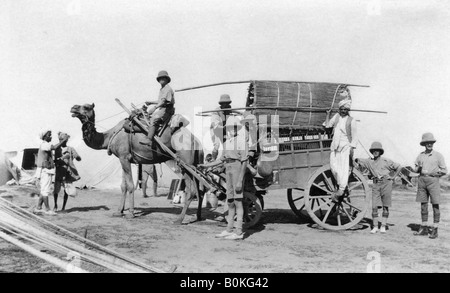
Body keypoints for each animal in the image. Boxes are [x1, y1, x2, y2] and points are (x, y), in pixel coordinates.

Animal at [70, 102, 204, 221]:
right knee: (200, 189)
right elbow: (123, 186)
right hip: (195, 163)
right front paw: (119, 212)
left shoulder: (124, 157)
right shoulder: (122, 158)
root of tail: (196, 141)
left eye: (86, 107)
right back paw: (197, 217)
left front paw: (130, 213)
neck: (109, 136)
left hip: (185, 162)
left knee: (191, 190)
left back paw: (179, 219)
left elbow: (130, 185)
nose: (73, 107)